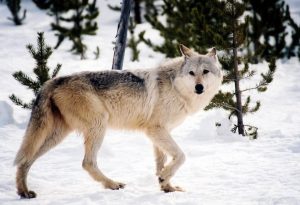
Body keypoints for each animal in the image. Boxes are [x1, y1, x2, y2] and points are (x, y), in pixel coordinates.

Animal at [13, 44, 223, 198]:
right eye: (191, 73)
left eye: (205, 71)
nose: (199, 87)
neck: (176, 87)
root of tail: (53, 80)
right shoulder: (155, 129)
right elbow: (180, 156)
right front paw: (164, 179)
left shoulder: (159, 133)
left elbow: (161, 163)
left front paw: (167, 187)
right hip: (98, 125)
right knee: (87, 163)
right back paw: (112, 184)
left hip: (57, 135)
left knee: (25, 161)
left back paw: (23, 192)